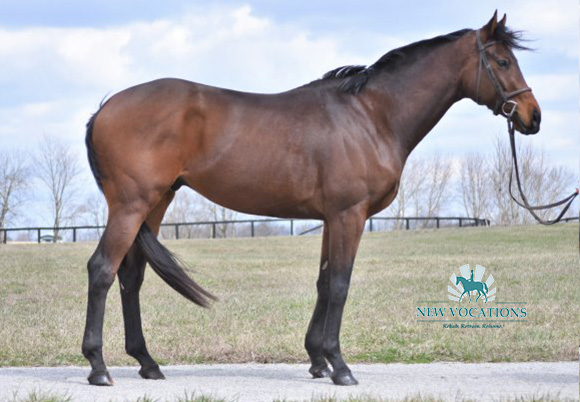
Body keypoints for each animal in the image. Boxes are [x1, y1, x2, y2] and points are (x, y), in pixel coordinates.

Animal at [84, 11, 540, 384]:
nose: (532, 117)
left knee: (131, 277)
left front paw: (318, 361)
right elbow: (339, 284)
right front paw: (340, 367)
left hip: (155, 203)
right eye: (503, 62)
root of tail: (105, 107)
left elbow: (323, 282)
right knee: (102, 269)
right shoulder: (349, 215)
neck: (371, 116)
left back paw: (147, 363)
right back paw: (99, 367)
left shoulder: (330, 218)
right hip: (131, 205)